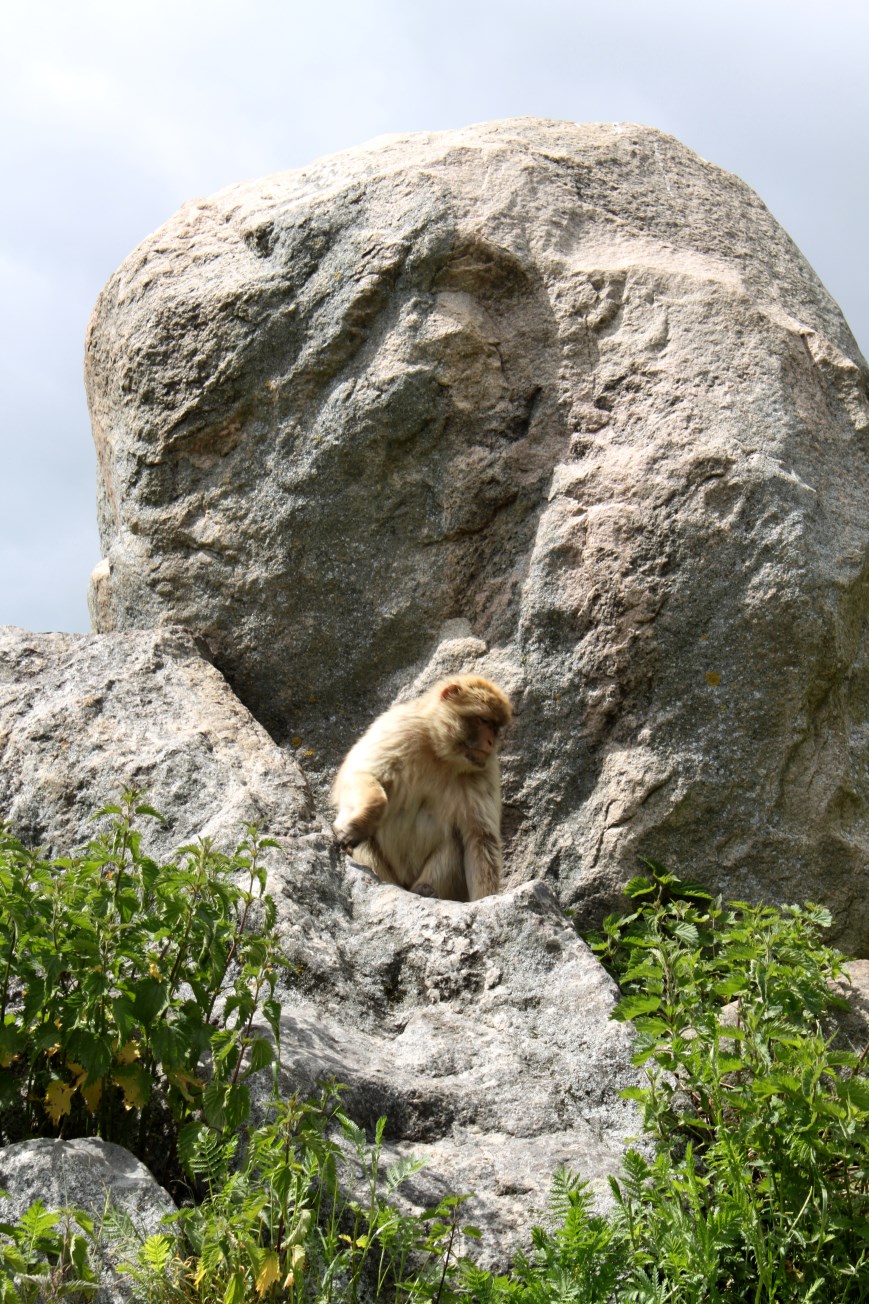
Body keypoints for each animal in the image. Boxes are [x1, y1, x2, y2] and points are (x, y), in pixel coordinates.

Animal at [332, 674, 513, 901]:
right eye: (484, 721)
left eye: (495, 729)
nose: (490, 742)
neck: (441, 756)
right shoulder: (402, 728)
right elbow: (360, 774)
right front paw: (358, 825)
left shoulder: (484, 771)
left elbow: (481, 838)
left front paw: (484, 900)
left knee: (454, 842)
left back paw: (426, 889)